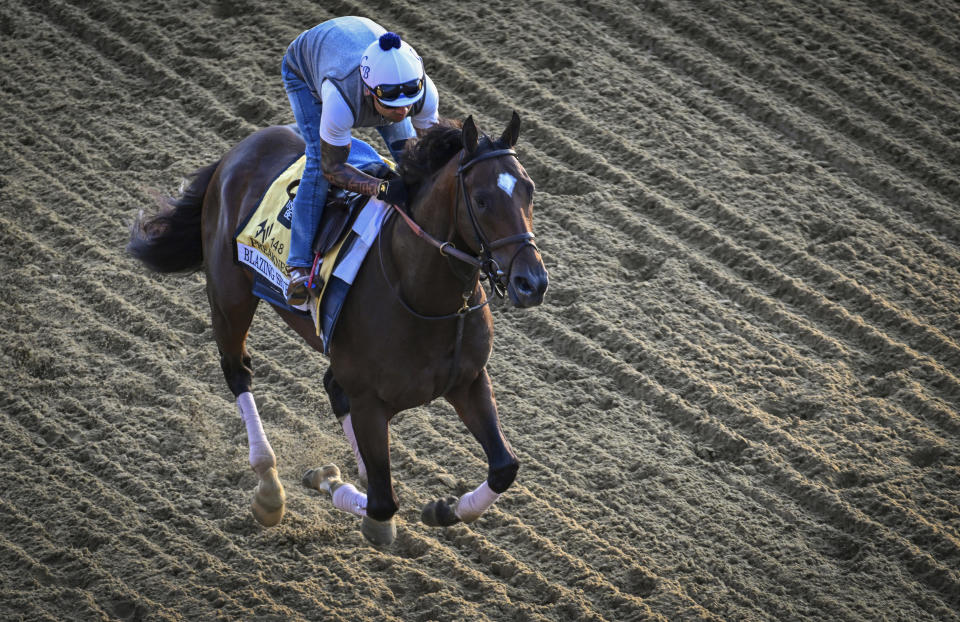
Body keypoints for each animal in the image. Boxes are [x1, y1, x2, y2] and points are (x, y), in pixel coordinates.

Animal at [128, 112, 548, 544]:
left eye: (530, 190)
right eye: (481, 199)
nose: (531, 283)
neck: (423, 296)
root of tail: (242, 147)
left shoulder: (467, 379)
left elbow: (504, 468)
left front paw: (444, 508)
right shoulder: (368, 400)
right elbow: (381, 507)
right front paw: (329, 482)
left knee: (331, 387)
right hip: (230, 296)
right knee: (238, 371)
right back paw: (269, 488)